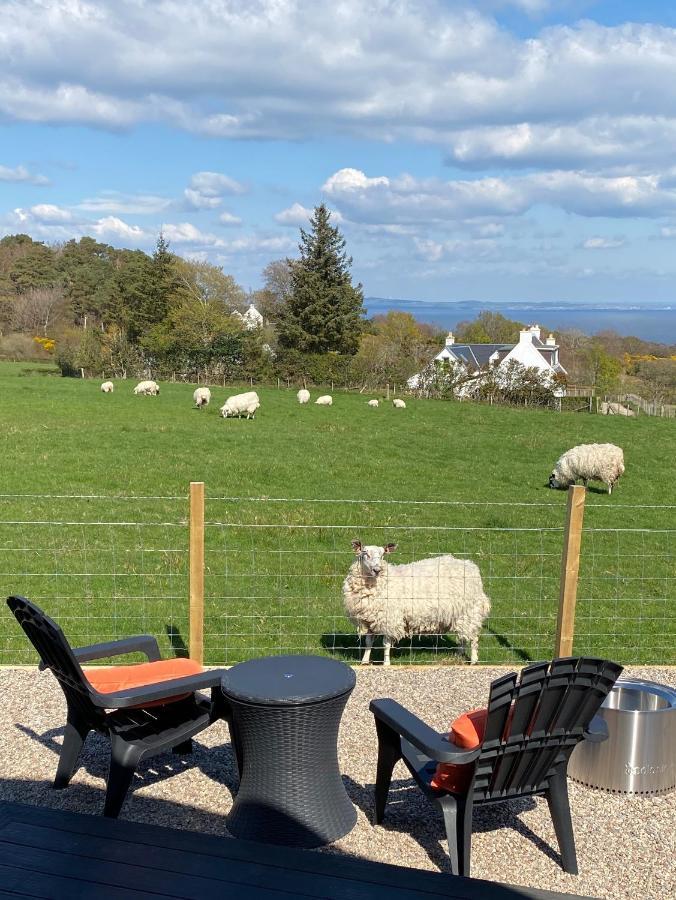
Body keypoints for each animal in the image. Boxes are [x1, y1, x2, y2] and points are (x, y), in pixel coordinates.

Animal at [344, 536, 492, 664]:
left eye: (383, 555)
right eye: (365, 553)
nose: (377, 570)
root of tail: (470, 565)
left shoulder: (390, 619)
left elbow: (386, 644)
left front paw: (386, 663)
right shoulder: (368, 619)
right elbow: (368, 643)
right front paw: (364, 662)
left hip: (470, 611)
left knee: (473, 637)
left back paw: (473, 660)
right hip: (460, 614)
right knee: (463, 637)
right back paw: (458, 656)